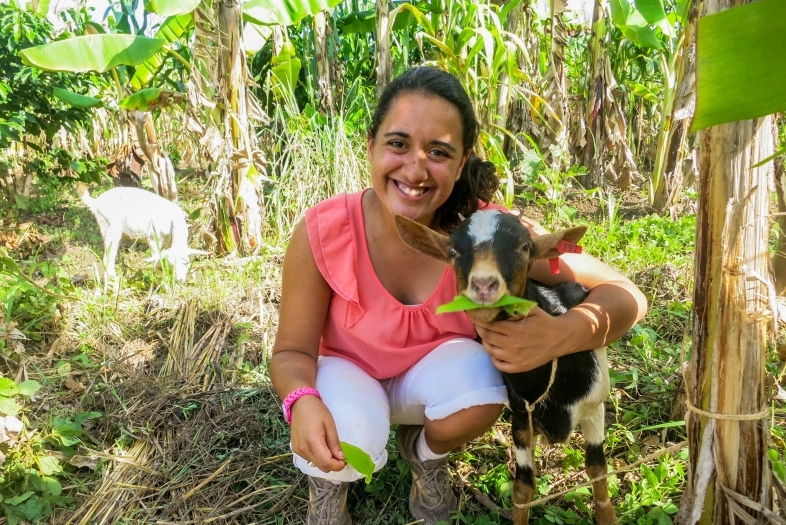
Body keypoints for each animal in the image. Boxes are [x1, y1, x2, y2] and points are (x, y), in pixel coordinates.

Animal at [76, 184, 205, 282]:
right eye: (172, 264)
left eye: (186, 263)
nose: (180, 280)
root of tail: (95, 202)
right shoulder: (153, 238)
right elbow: (156, 261)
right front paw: (163, 281)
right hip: (109, 226)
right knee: (108, 256)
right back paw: (114, 279)